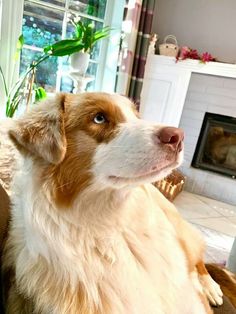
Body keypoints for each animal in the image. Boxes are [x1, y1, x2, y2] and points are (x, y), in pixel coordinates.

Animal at [2, 92, 222, 312]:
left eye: (137, 116)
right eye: (99, 118)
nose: (178, 136)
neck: (115, 224)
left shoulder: (189, 299)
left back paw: (210, 287)